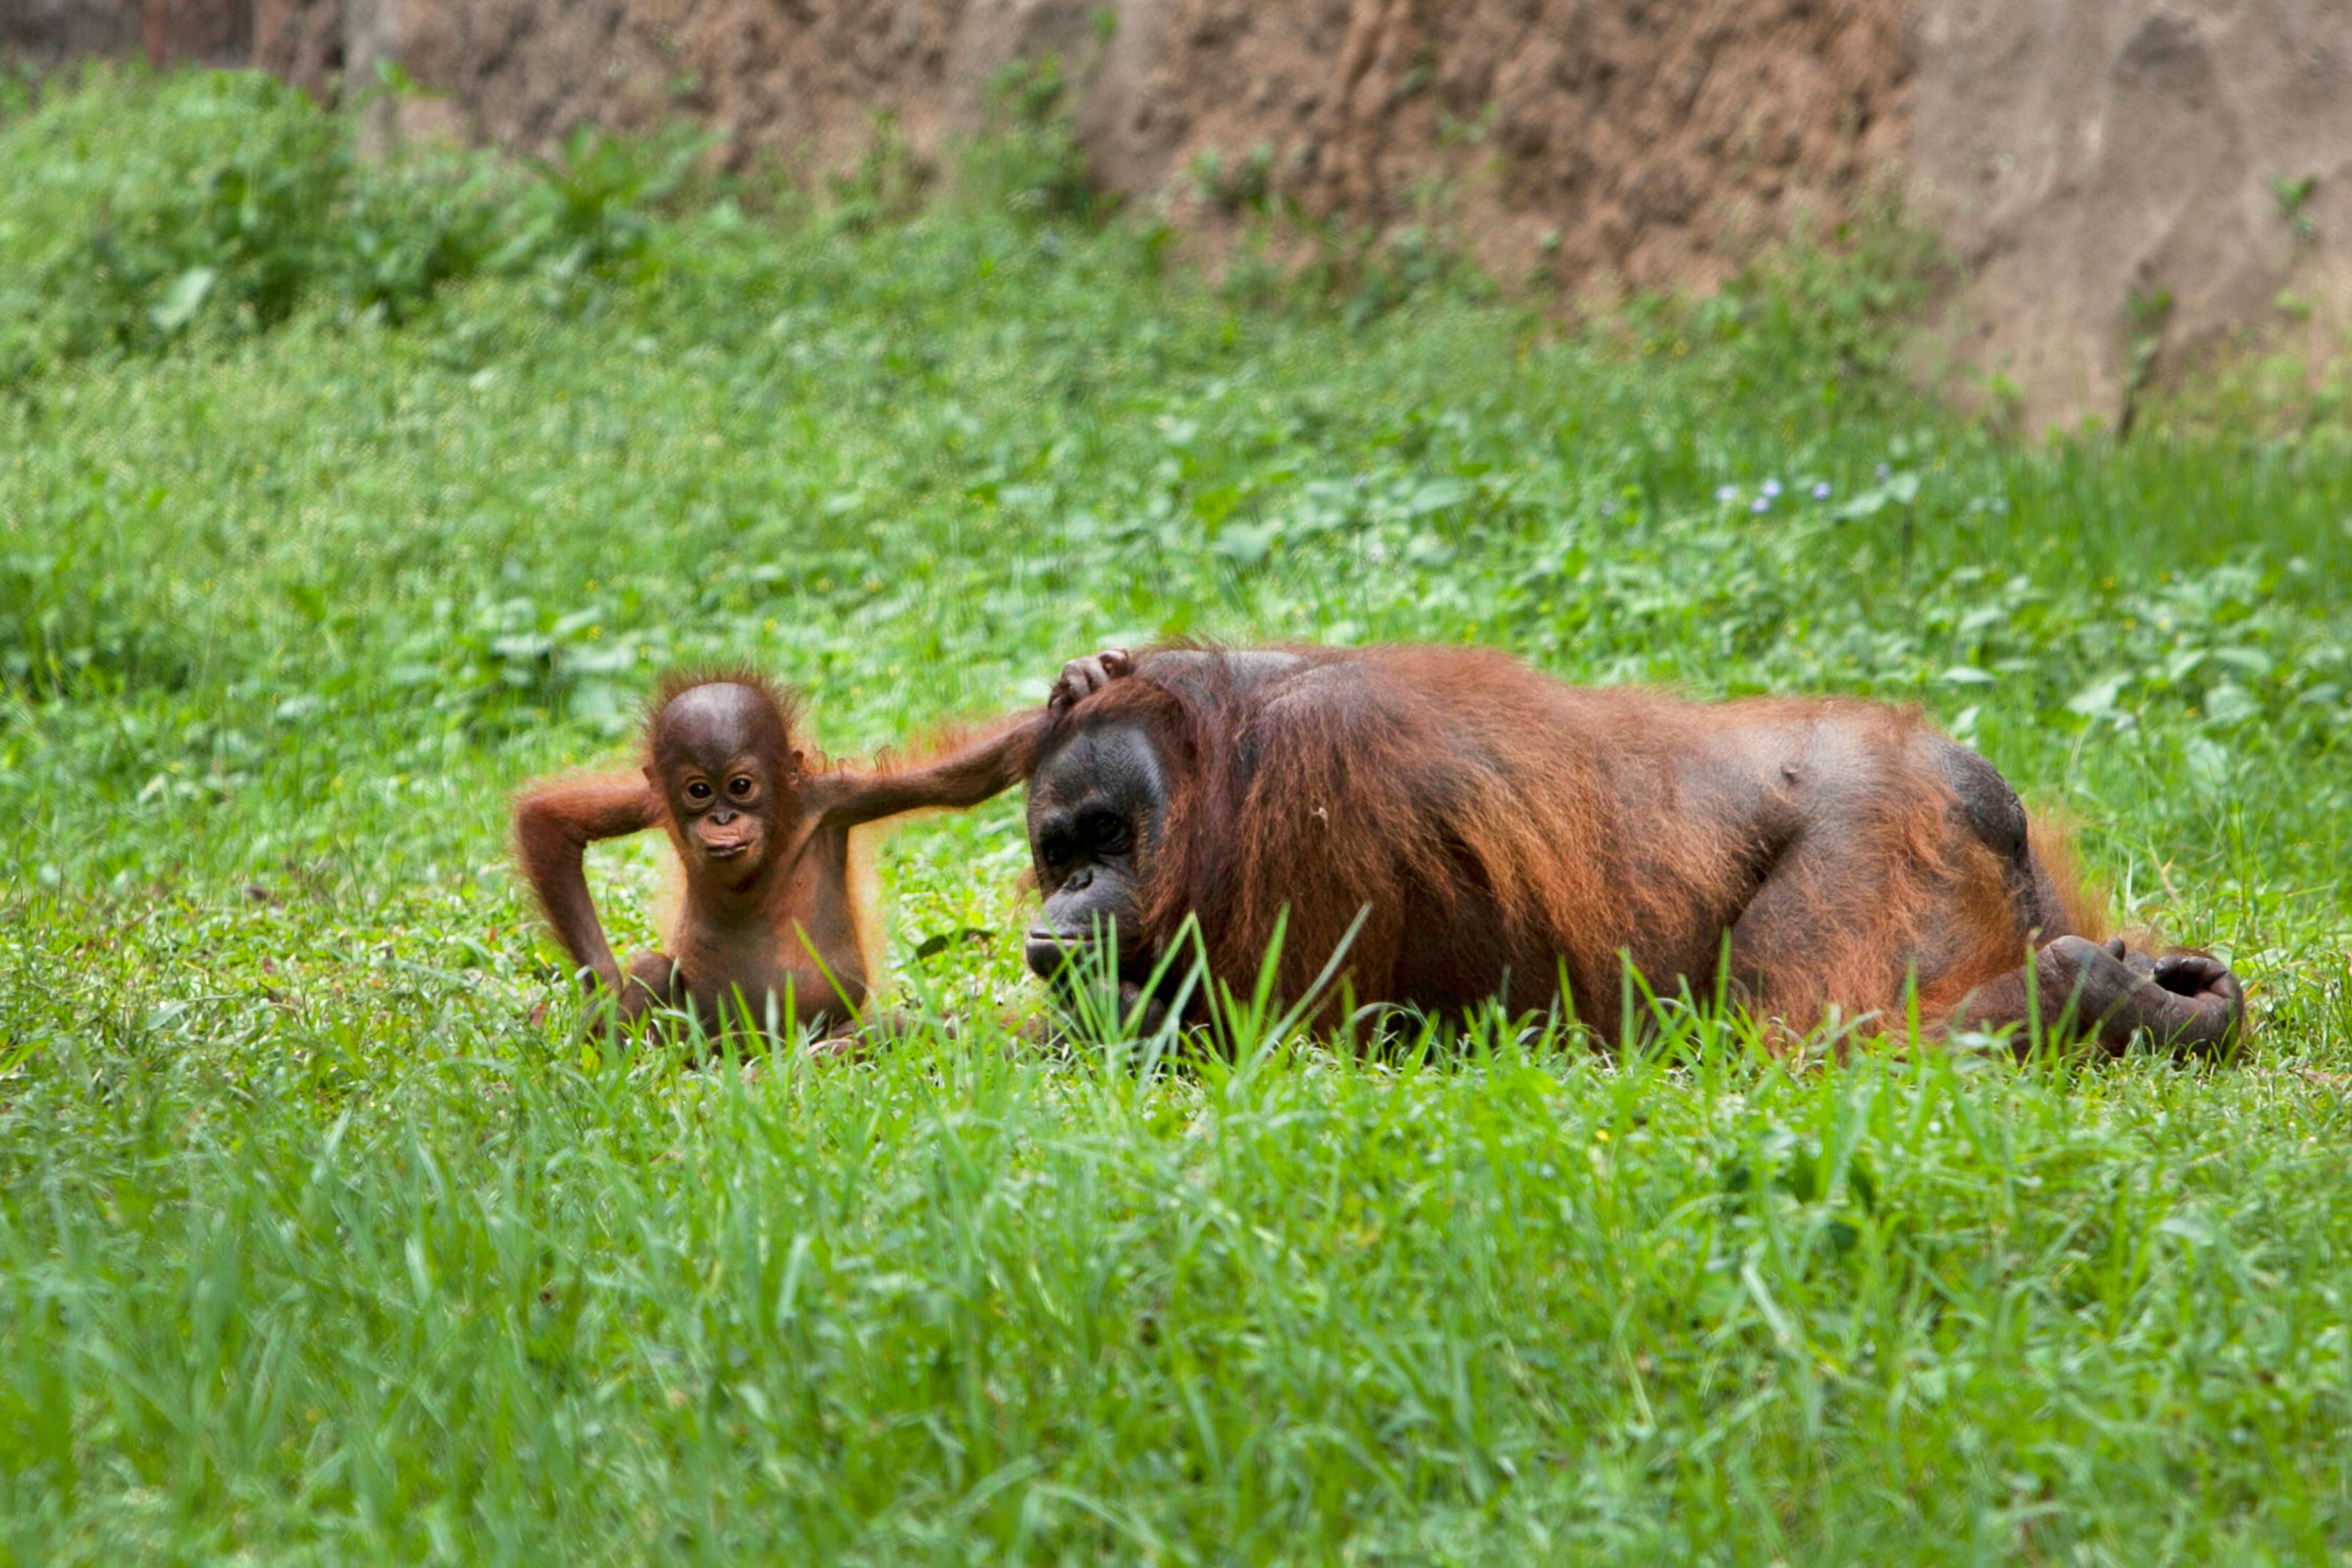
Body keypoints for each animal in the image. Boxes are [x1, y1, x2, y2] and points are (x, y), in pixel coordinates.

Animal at [1024, 644, 2244, 1054]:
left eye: (1110, 836)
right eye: (1060, 846)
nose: (1071, 886)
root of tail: (1983, 791)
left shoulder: (1318, 793)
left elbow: (1294, 1044)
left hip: (1879, 835)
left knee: (1790, 1054)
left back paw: (2079, 998)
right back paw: (2152, 993)